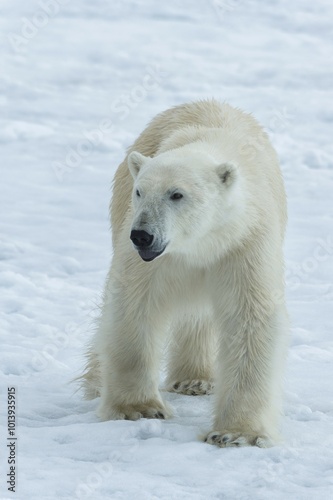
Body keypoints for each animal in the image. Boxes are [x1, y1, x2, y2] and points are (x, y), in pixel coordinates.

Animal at [81, 99, 288, 448]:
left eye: (176, 194)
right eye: (140, 191)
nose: (142, 235)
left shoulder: (244, 243)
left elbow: (249, 318)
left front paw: (235, 434)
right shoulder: (151, 260)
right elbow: (135, 305)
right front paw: (138, 408)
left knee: (198, 316)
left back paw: (195, 380)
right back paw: (97, 380)